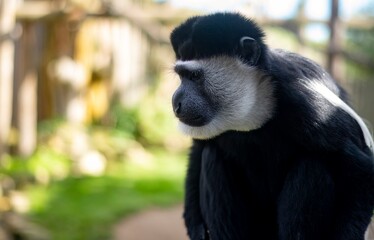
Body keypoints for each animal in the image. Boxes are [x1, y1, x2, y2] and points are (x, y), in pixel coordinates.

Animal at [170, 12, 374, 239]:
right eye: (181, 76)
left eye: (195, 76)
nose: (176, 103)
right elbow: (198, 151)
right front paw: (196, 226)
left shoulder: (312, 109)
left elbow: (362, 172)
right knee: (211, 156)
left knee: (313, 165)